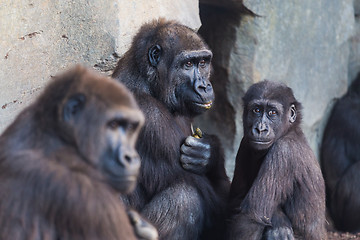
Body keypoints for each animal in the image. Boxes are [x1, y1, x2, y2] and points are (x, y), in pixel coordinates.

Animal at [112, 19, 231, 240]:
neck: (148, 82)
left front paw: (210, 152)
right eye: (188, 65)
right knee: (186, 197)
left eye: (203, 63)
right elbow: (214, 199)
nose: (205, 86)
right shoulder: (148, 115)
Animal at [229, 80, 328, 240]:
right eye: (256, 110)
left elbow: (251, 216)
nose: (260, 129)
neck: (289, 130)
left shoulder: (283, 152)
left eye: (272, 113)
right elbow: (235, 199)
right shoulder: (245, 143)